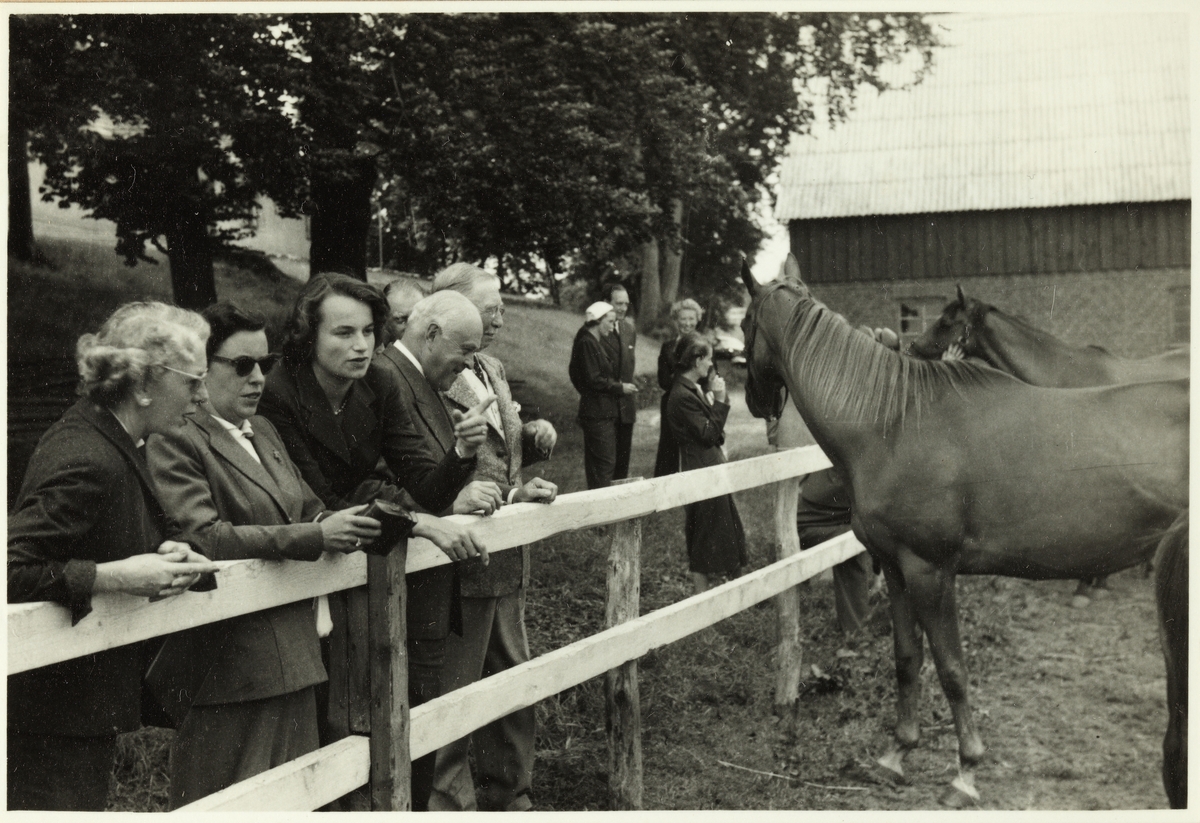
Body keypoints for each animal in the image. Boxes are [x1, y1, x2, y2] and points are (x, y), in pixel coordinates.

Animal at [734, 256, 1185, 806]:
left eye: (744, 324)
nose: (754, 402)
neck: (891, 423)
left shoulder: (930, 572)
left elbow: (951, 670)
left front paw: (966, 772)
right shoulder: (896, 568)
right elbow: (907, 660)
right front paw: (896, 754)